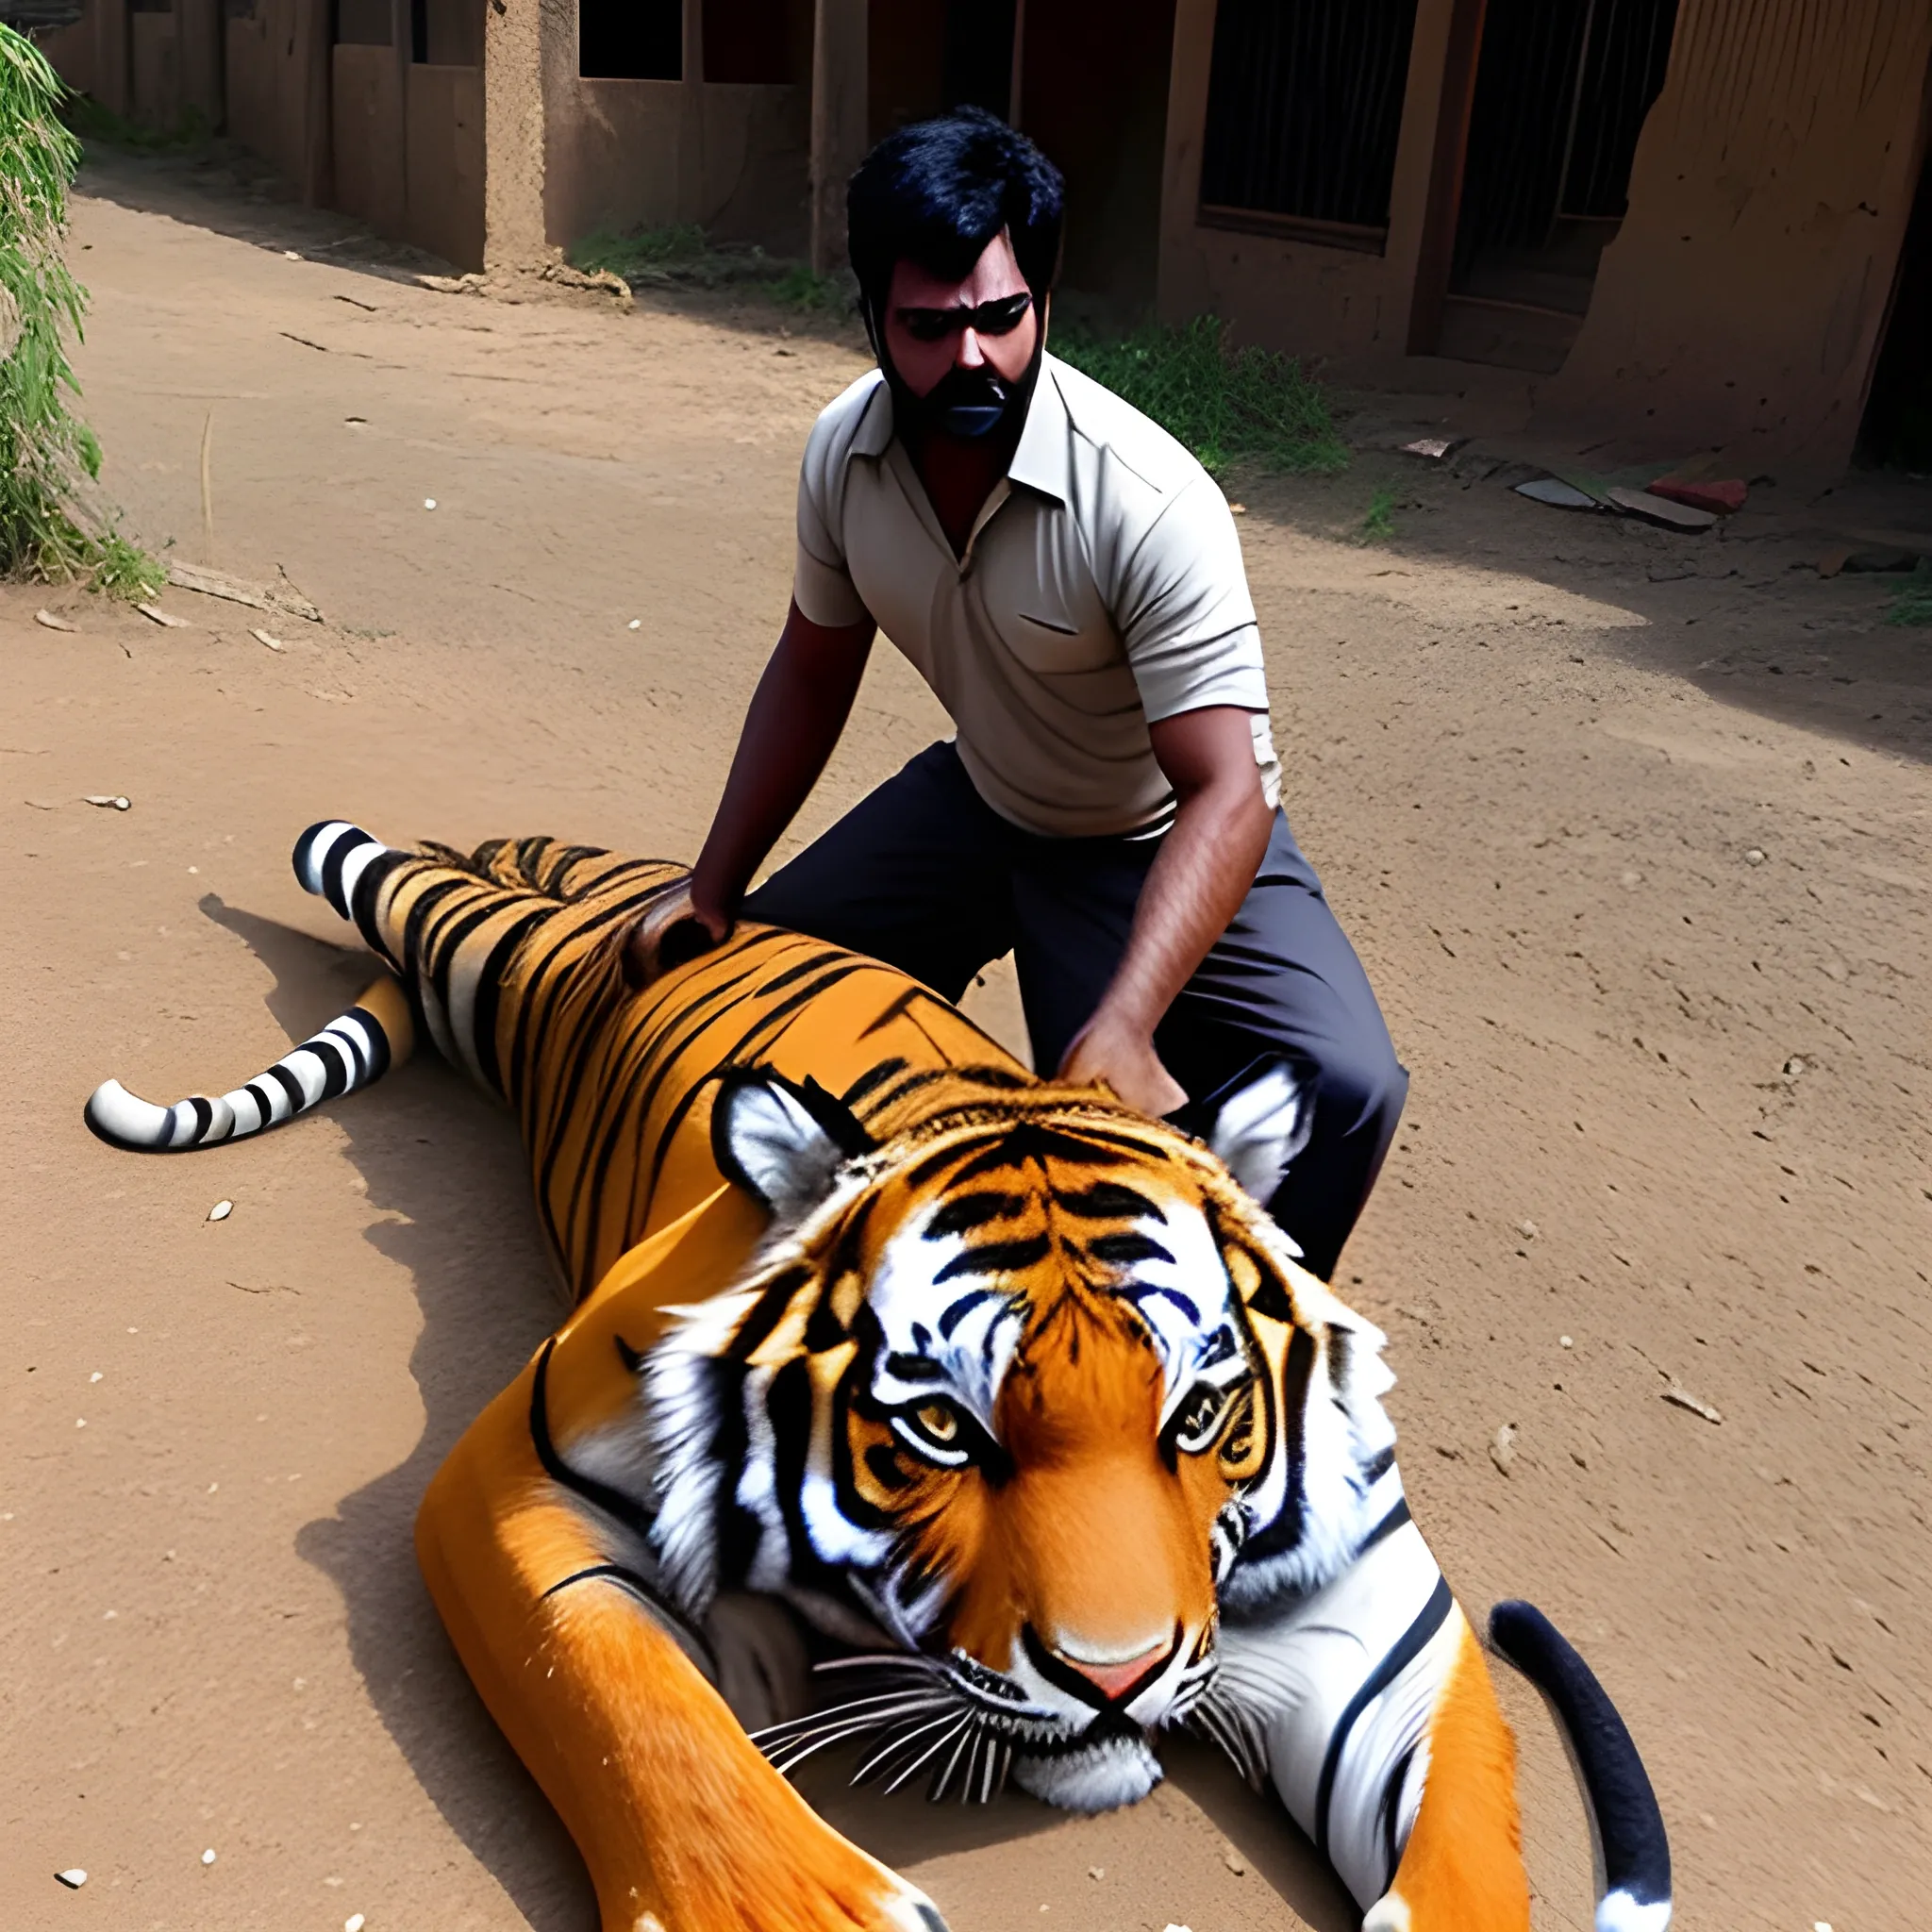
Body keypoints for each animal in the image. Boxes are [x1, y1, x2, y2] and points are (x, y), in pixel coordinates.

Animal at [83, 819, 1669, 1932]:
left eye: (1204, 1417)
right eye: (941, 1431)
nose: (1118, 1679)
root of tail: (606, 877)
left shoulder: (1375, 1607)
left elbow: (1459, 1835)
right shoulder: (507, 1472)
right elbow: (625, 1696)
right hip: (485, 939)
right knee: (365, 858)